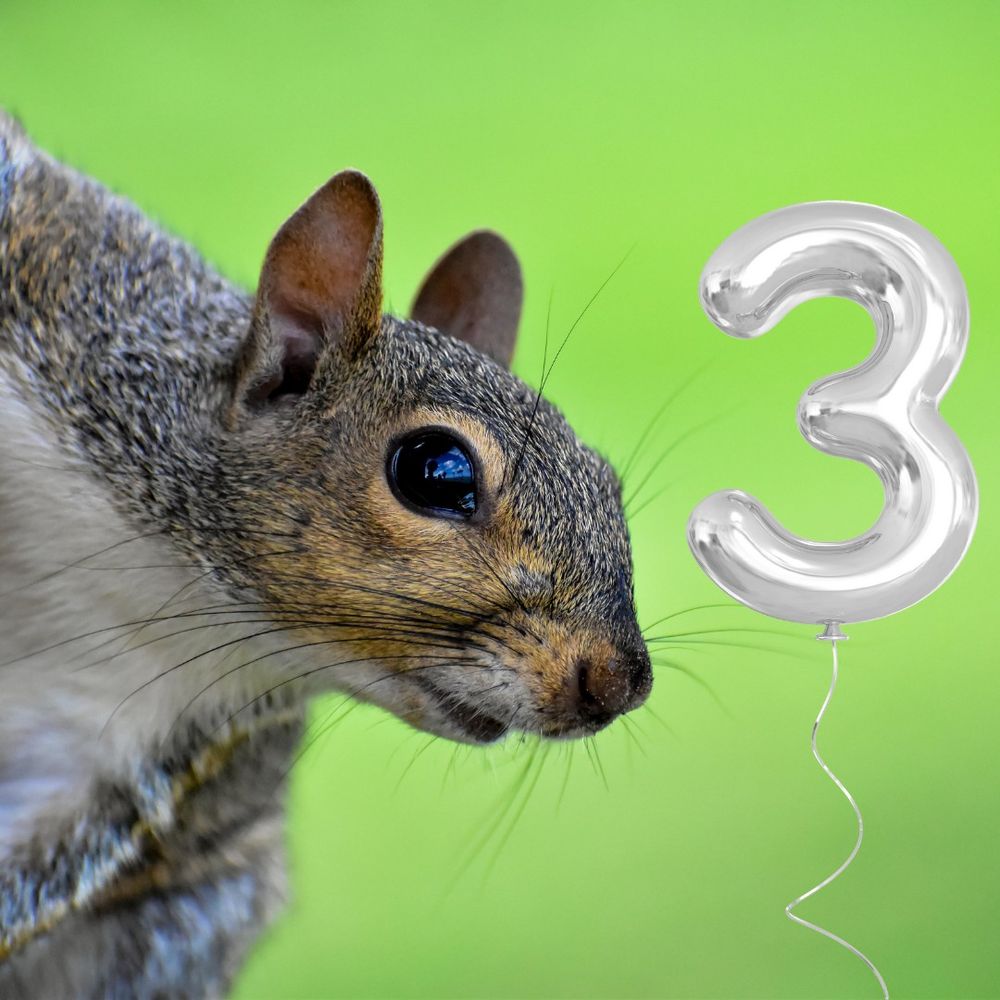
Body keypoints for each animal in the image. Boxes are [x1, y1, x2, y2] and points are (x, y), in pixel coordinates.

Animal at [0, 109, 652, 998]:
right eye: (437, 470)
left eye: (607, 484)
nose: (621, 684)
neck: (165, 579)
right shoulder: (47, 263)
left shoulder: (130, 764)